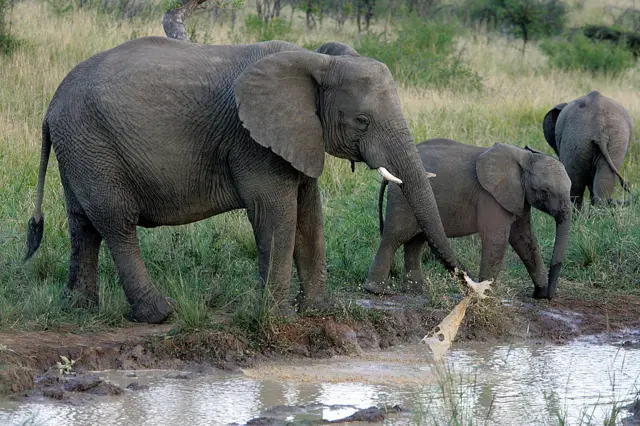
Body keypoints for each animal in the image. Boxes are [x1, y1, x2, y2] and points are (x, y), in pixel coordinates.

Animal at [26, 38, 476, 324]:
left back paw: (80, 309)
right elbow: (276, 213)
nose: (473, 289)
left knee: (83, 223)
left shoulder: (298, 136)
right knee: (116, 222)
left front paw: (318, 310)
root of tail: (50, 106)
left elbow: (309, 214)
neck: (314, 61)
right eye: (362, 121)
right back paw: (160, 314)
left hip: (81, 148)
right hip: (93, 142)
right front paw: (275, 316)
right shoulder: (252, 141)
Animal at [368, 139, 572, 300]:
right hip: (401, 200)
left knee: (415, 242)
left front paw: (540, 294)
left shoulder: (518, 198)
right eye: (544, 191)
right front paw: (487, 297)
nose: (550, 294)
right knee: (395, 237)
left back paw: (417, 290)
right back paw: (378, 291)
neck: (524, 157)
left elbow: (524, 239)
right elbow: (497, 239)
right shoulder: (491, 196)